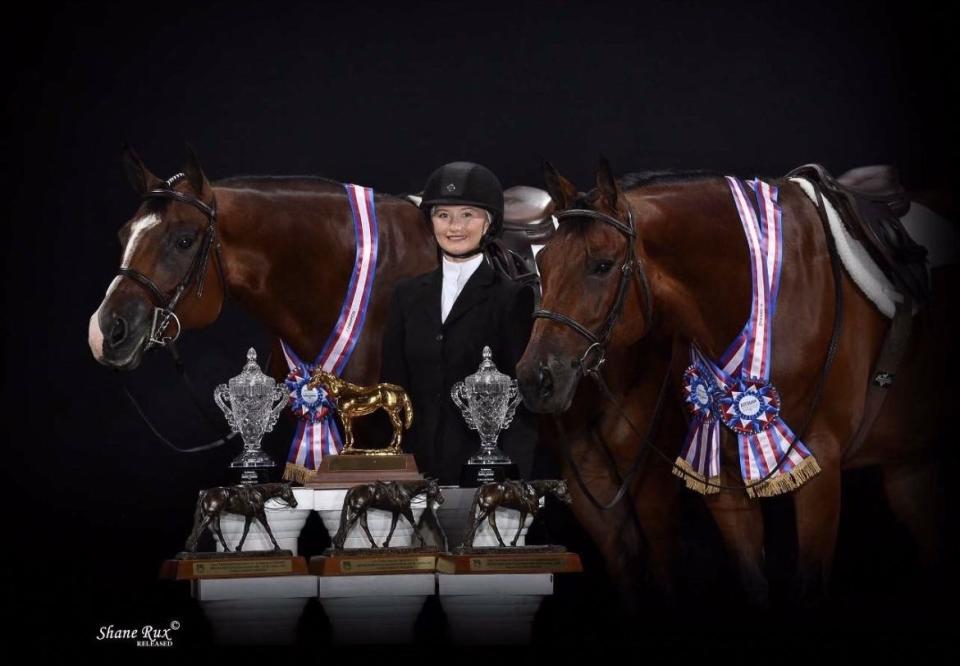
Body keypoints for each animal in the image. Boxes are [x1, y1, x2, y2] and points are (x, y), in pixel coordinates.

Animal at [516, 160, 952, 600]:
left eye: (602, 265)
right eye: (543, 262)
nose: (535, 378)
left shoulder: (821, 470)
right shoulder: (720, 475)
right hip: (909, 466)